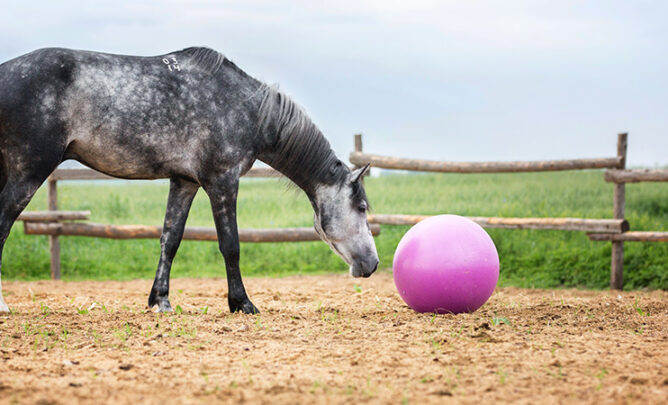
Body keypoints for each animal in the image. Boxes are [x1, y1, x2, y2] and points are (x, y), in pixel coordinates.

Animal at [0, 46, 378, 312]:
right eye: (361, 207)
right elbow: (230, 244)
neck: (247, 109)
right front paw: (242, 303)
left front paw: (160, 301)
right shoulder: (222, 181)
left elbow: (170, 239)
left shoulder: (184, 181)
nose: (373, 264)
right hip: (28, 172)